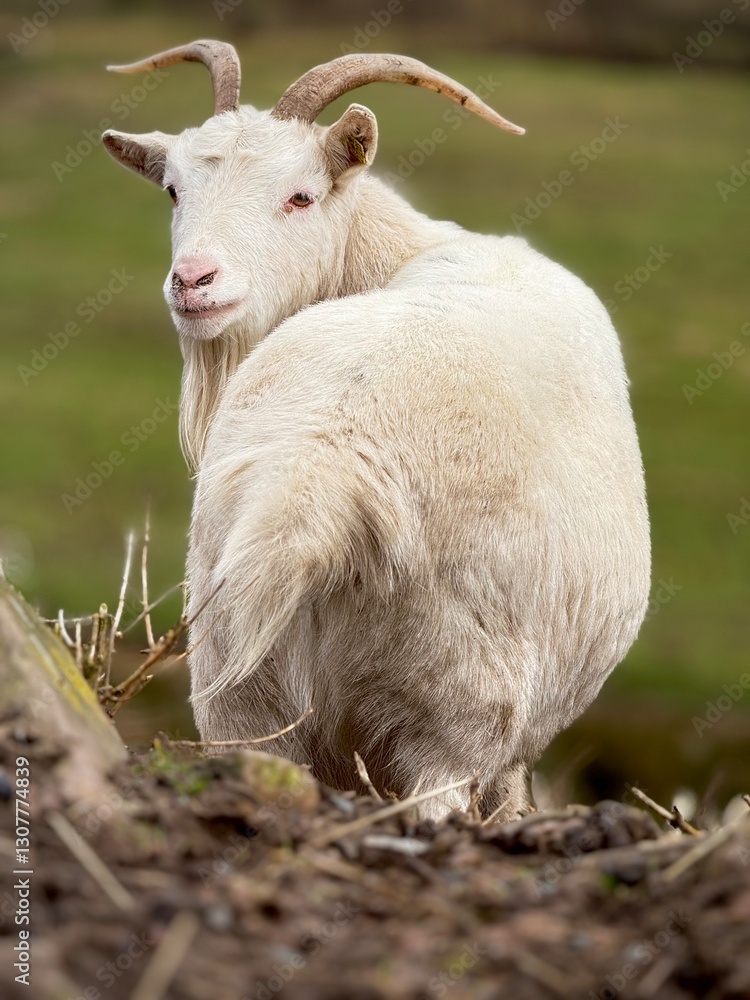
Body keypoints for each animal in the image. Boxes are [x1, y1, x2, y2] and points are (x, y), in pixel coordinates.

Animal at [103, 40, 650, 820]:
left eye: (301, 196)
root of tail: (316, 479)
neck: (398, 252)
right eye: (174, 191)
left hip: (242, 691)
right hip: (449, 707)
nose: (194, 281)